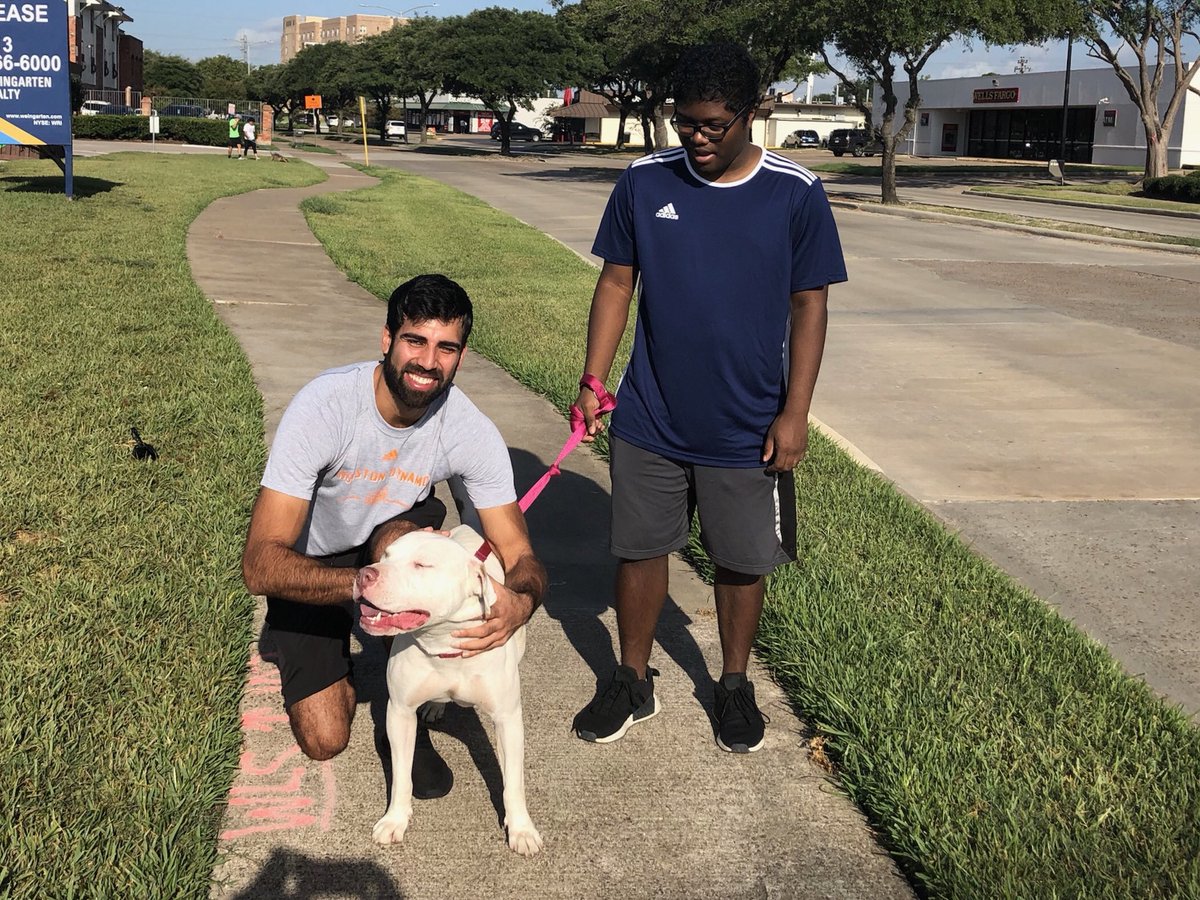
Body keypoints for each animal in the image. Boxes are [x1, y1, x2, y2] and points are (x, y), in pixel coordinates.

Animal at [350, 528, 542, 859]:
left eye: (422, 565)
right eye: (385, 556)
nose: (365, 574)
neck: (442, 642)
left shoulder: (507, 719)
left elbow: (514, 783)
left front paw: (521, 829)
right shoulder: (400, 712)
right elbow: (401, 775)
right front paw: (394, 819)